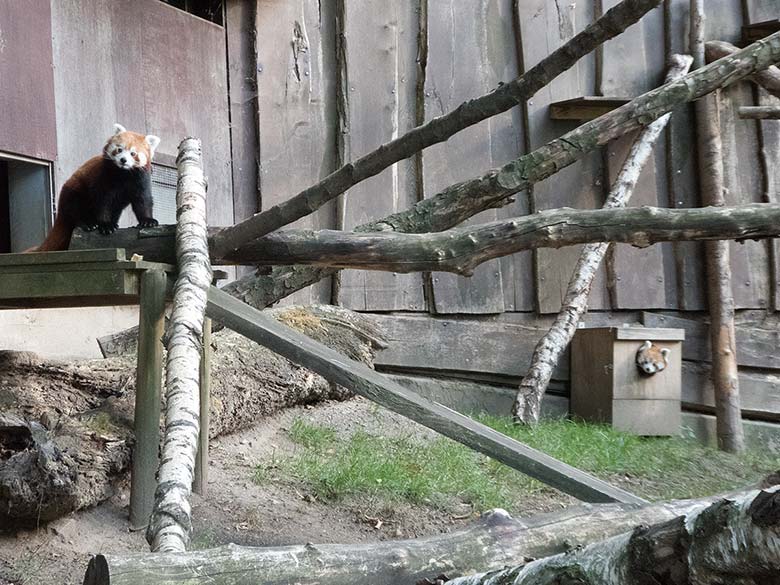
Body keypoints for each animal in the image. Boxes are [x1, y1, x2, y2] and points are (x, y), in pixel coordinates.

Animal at [32, 123, 161, 251]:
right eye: (119, 149)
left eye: (133, 154)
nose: (123, 160)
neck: (124, 174)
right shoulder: (102, 179)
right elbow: (103, 202)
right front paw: (105, 225)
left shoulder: (140, 180)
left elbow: (143, 201)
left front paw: (148, 221)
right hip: (74, 191)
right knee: (74, 209)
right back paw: (86, 223)